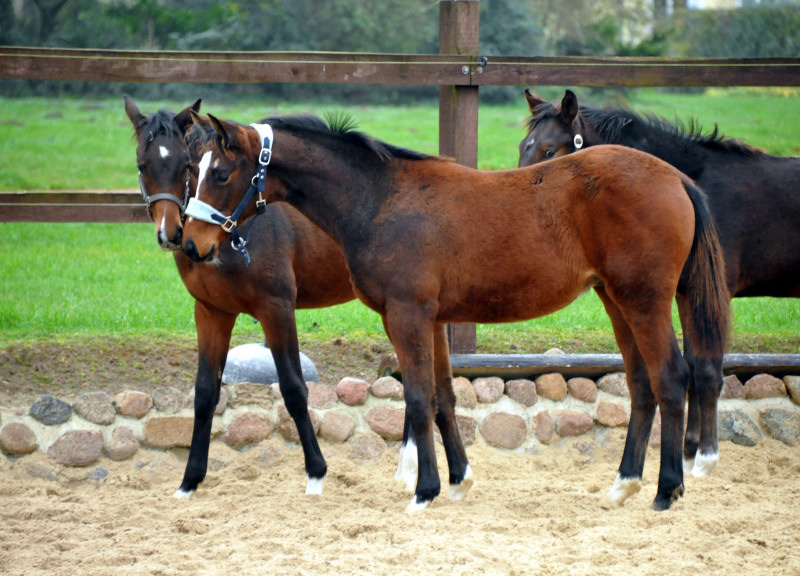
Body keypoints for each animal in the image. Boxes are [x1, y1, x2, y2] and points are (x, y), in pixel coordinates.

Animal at [123, 97, 354, 498]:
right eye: (142, 164)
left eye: (184, 165)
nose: (172, 234)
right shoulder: (211, 312)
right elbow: (204, 393)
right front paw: (190, 479)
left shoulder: (277, 310)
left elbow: (294, 389)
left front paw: (316, 472)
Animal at [181, 113, 732, 512]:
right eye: (192, 171)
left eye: (221, 173)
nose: (190, 244)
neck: (380, 201)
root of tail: (678, 179)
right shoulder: (434, 320)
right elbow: (443, 397)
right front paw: (459, 480)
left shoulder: (407, 315)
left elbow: (418, 399)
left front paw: (424, 491)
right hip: (616, 301)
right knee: (641, 385)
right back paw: (623, 484)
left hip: (644, 301)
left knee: (671, 378)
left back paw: (666, 490)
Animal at [520, 88, 800, 480]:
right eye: (523, 146)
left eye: (548, 150)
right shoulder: (683, 293)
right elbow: (694, 365)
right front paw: (688, 449)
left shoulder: (708, 295)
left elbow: (707, 368)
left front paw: (704, 457)